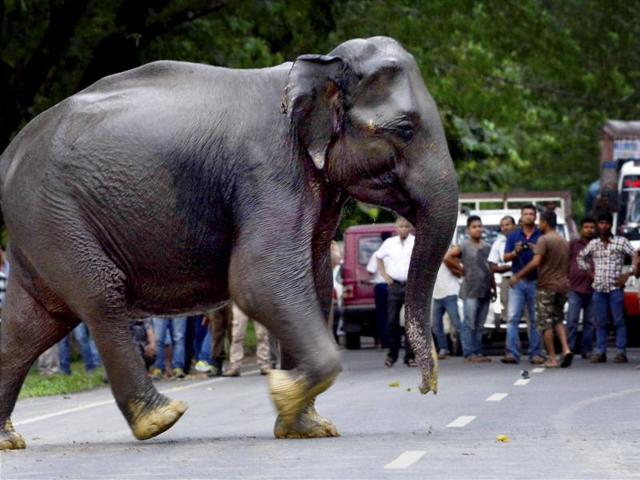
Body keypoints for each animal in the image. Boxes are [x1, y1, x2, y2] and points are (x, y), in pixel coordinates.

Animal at [0, 36, 458, 450]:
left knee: (34, 322)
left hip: (39, 226)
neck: (315, 66)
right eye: (406, 129)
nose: (426, 390)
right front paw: (282, 391)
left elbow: (315, 285)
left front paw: (307, 427)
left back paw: (8, 439)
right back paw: (160, 418)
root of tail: (10, 154)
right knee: (99, 294)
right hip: (54, 213)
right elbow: (258, 280)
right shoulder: (268, 172)